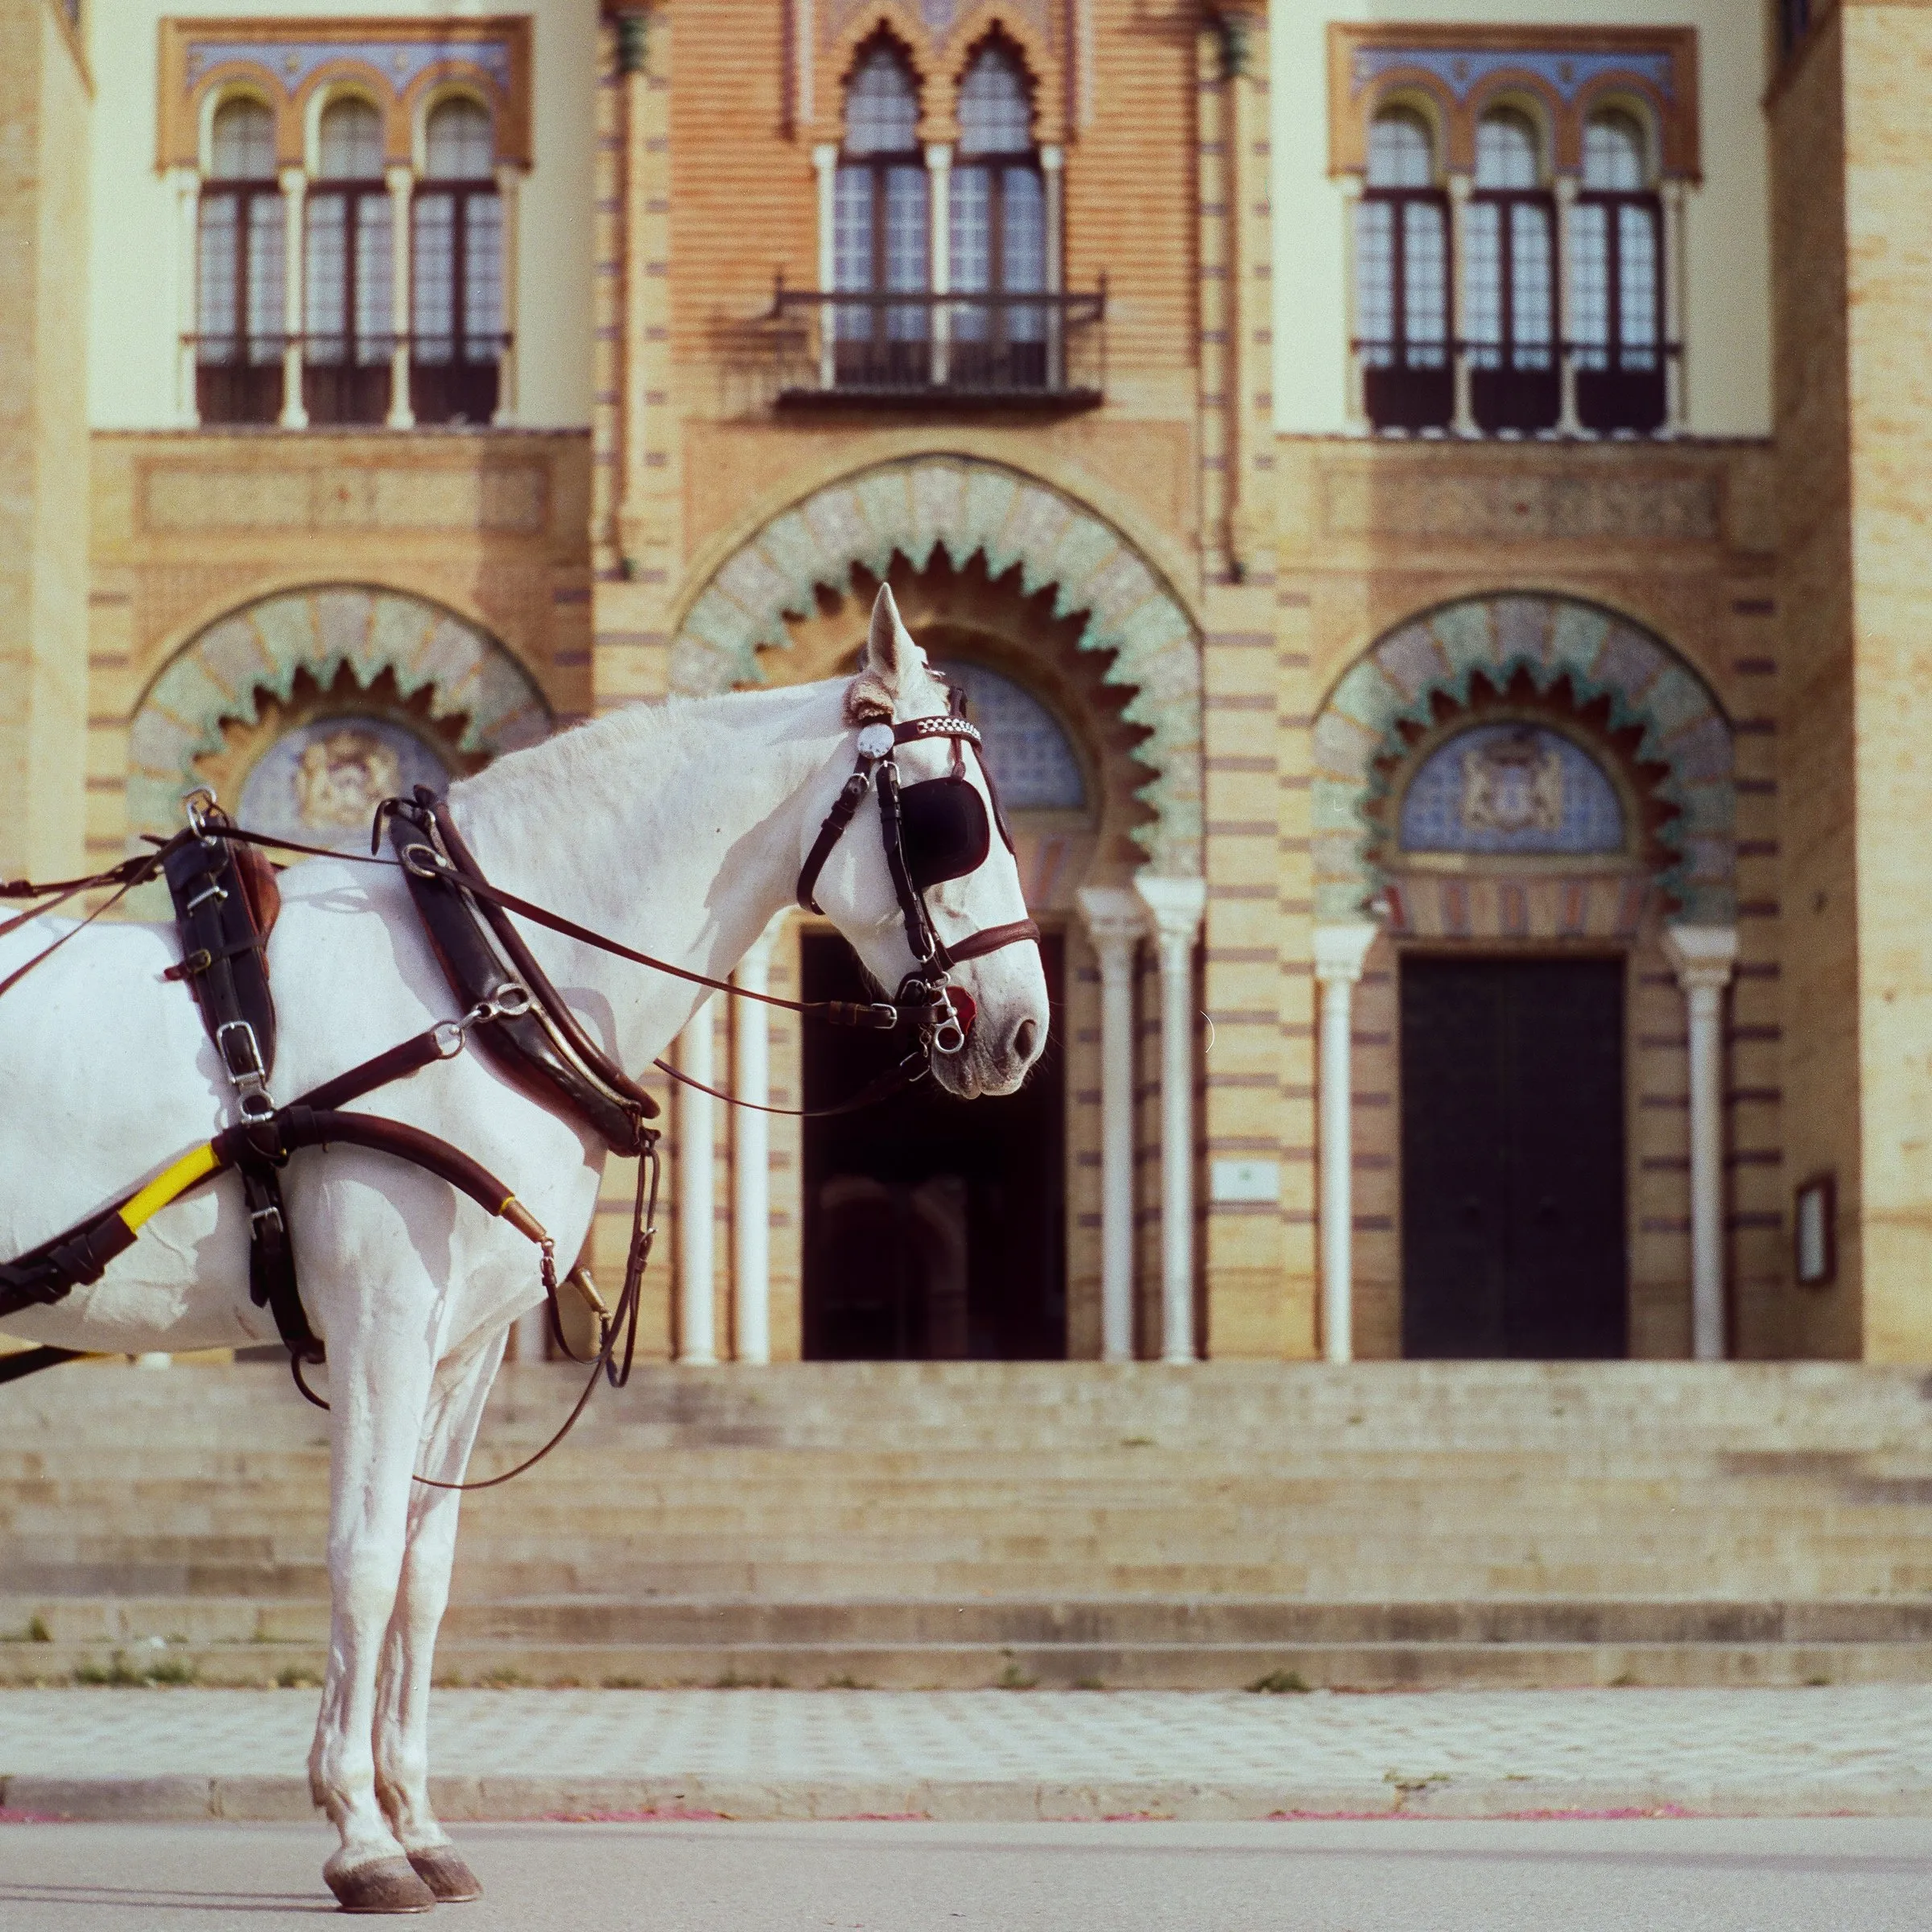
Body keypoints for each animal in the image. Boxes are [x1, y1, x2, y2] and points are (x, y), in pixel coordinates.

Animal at [0, 587, 1049, 1912]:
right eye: (951, 818)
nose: (1023, 1031)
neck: (475, 981)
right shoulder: (382, 1323)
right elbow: (361, 1556)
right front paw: (360, 1837)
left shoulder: (466, 1346)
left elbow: (425, 1570)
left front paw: (416, 1822)